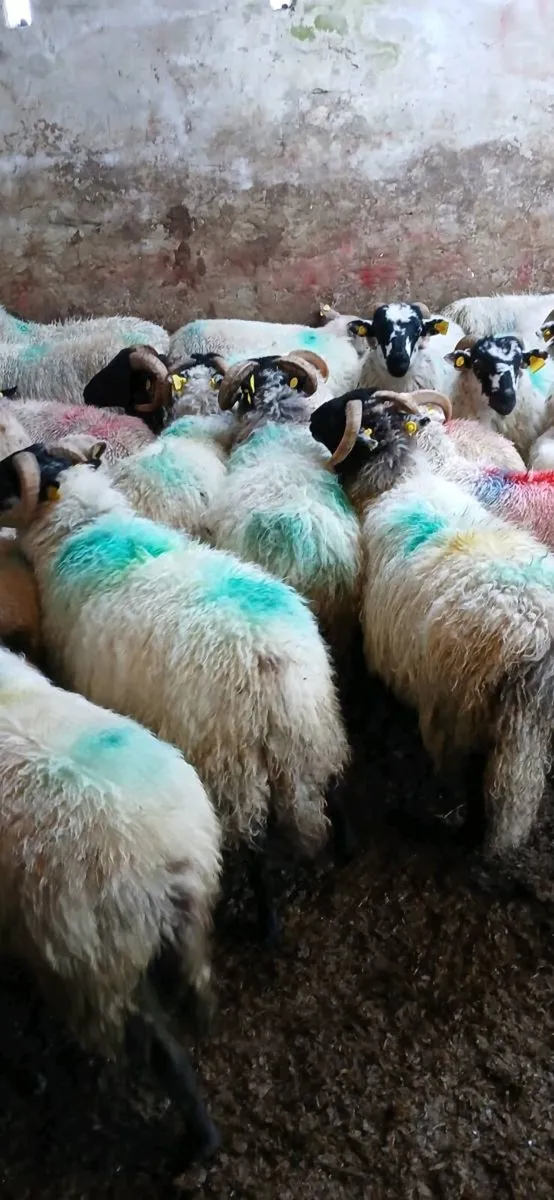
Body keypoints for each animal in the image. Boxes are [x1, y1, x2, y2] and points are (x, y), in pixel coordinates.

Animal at [0, 439, 350, 938]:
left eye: (7, 479)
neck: (83, 527)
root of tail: (271, 664)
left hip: (232, 763)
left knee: (254, 845)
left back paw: (266, 923)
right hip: (317, 723)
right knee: (335, 782)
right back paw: (348, 849)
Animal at [0, 642, 221, 1158]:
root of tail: (160, 856)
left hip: (102, 960)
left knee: (163, 1053)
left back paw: (197, 1141)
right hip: (178, 927)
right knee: (198, 983)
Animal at [310, 386, 554, 857]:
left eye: (340, 414)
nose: (310, 418)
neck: (402, 482)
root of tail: (536, 639)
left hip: (469, 712)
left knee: (477, 788)